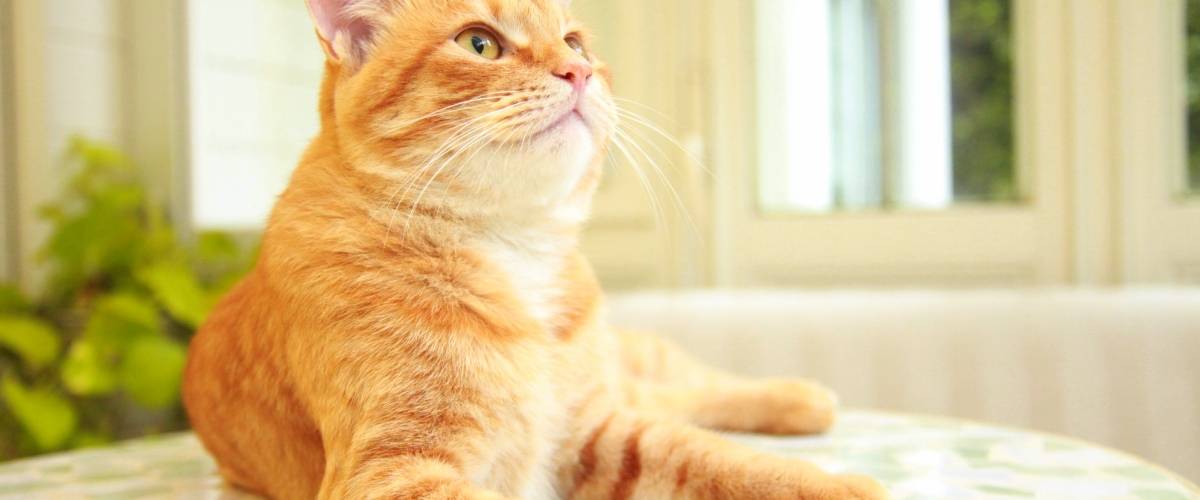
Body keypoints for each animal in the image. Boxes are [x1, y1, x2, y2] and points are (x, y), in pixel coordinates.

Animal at [182, 0, 888, 498]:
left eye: (574, 42)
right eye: (479, 42)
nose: (578, 70)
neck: (511, 247)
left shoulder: (599, 431)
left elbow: (723, 459)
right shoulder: (392, 470)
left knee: (685, 388)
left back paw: (801, 397)